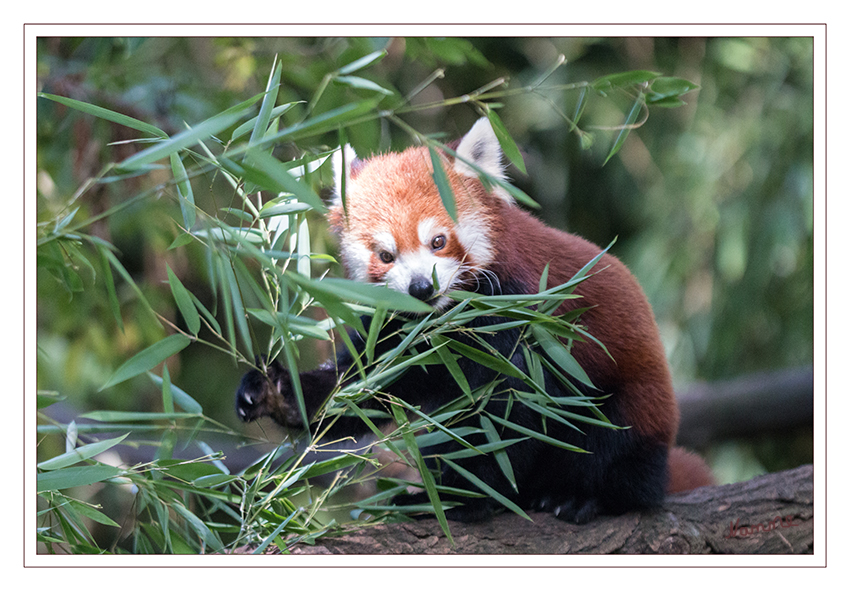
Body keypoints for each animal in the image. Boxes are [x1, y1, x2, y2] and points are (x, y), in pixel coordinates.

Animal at [235, 118, 712, 524]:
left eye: (438, 241)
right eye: (386, 255)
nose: (421, 289)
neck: (446, 319)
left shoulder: (519, 320)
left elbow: (507, 415)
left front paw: (460, 499)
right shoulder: (399, 334)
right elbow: (360, 387)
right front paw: (276, 392)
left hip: (633, 407)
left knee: (611, 451)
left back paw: (580, 498)